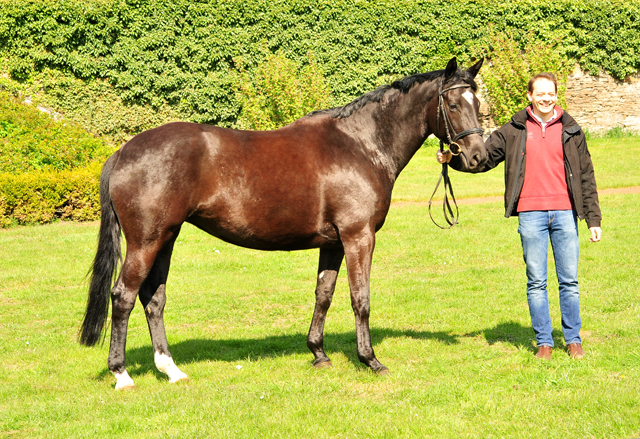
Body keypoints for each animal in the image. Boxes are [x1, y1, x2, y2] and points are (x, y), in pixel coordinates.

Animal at [82, 56, 488, 390]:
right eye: (453, 104)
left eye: (478, 103)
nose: (478, 157)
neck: (360, 145)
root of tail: (122, 151)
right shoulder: (358, 237)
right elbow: (360, 298)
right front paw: (370, 360)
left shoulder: (333, 242)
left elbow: (324, 294)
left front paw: (318, 353)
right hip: (146, 241)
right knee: (124, 296)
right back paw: (122, 374)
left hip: (165, 238)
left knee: (154, 299)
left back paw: (171, 370)